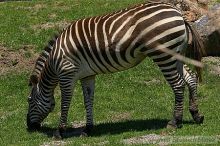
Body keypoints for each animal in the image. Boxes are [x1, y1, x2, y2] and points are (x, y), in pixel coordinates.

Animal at [27, 2, 205, 138]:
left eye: (29, 100)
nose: (29, 127)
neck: (55, 60)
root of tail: (179, 13)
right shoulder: (87, 75)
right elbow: (88, 101)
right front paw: (88, 129)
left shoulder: (67, 74)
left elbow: (65, 103)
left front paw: (59, 131)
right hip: (176, 54)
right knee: (190, 78)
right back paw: (196, 114)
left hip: (163, 55)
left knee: (178, 84)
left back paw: (175, 122)